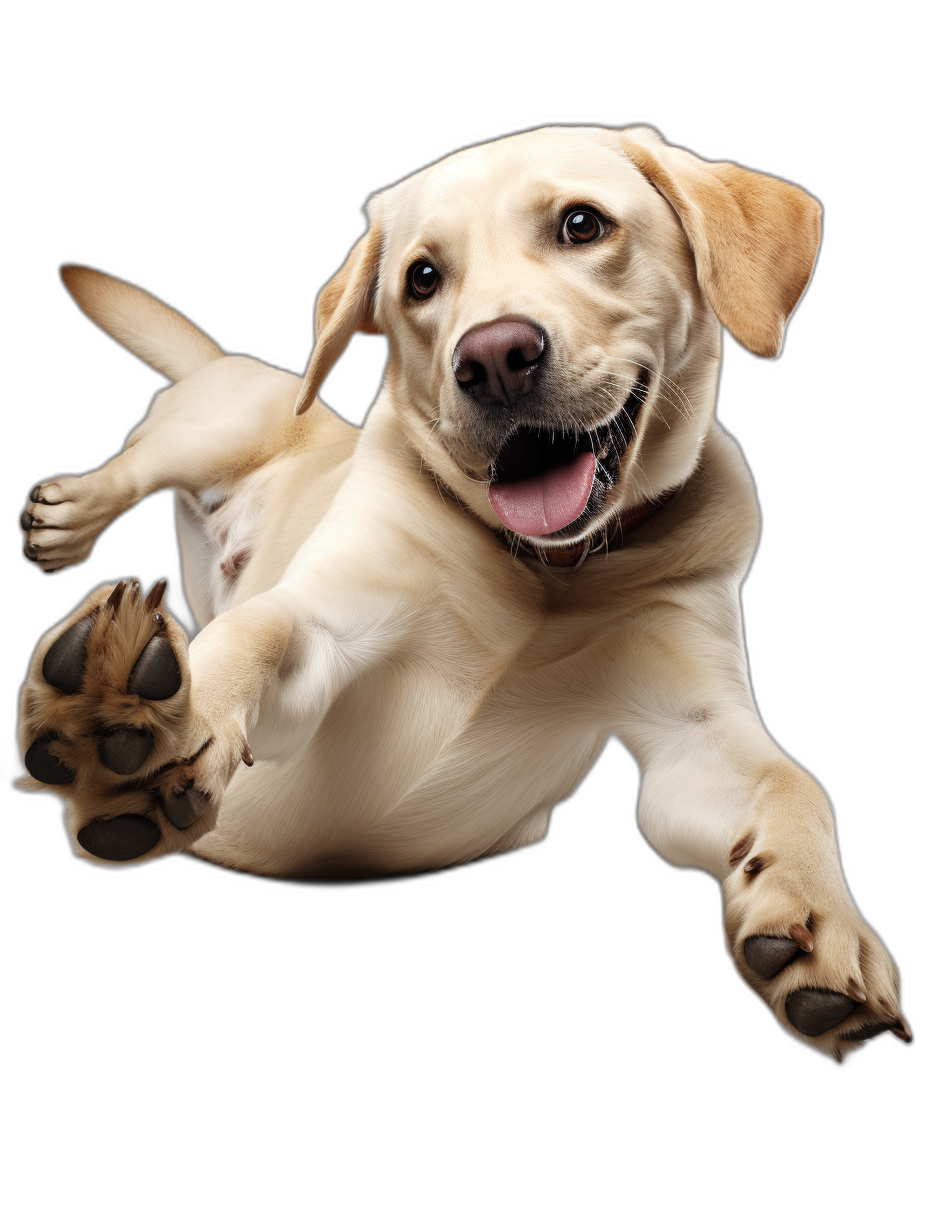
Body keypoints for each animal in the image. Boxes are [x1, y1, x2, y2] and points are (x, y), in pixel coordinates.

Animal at [18, 129, 907, 1064]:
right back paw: (74, 533)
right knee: (139, 460)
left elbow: (793, 785)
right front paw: (150, 719)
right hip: (226, 423)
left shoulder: (693, 732)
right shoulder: (327, 634)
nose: (494, 357)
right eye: (421, 278)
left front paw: (821, 925)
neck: (549, 571)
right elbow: (255, 631)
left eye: (582, 224)